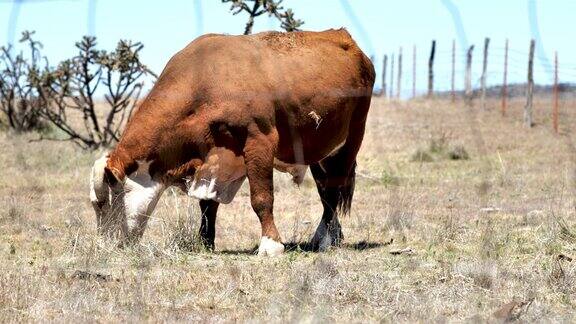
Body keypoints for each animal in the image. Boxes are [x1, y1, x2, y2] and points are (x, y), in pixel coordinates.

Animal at [89, 28, 376, 256]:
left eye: (103, 203)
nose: (103, 246)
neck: (204, 83)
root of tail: (343, 38)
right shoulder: (212, 158)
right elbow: (207, 204)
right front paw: (205, 242)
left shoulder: (259, 141)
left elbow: (261, 198)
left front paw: (271, 245)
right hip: (317, 148)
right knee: (325, 191)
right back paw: (330, 235)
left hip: (352, 140)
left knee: (334, 189)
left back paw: (326, 239)